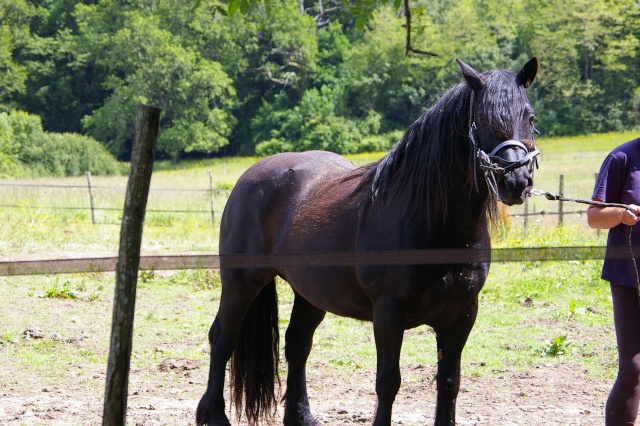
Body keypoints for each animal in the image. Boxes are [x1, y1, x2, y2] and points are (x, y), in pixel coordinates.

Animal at [198, 57, 536, 426]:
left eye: (530, 118)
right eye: (483, 120)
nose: (517, 180)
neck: (433, 224)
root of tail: (250, 176)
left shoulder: (462, 314)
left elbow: (449, 381)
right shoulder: (388, 311)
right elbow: (388, 380)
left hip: (311, 292)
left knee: (297, 343)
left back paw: (301, 416)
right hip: (241, 284)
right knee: (222, 338)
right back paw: (213, 415)